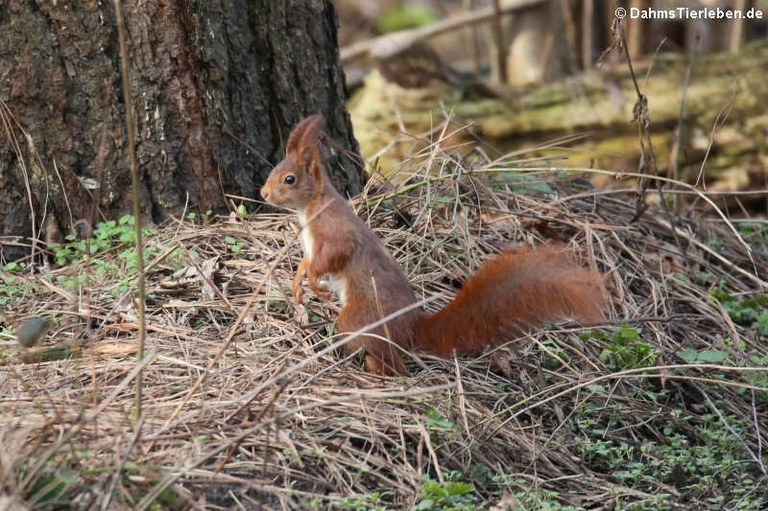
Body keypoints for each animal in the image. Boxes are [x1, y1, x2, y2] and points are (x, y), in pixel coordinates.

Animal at [260, 116, 608, 376]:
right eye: (274, 170)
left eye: (289, 179)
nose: (263, 193)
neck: (311, 207)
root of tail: (411, 330)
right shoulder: (311, 245)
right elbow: (306, 261)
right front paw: (298, 281)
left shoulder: (334, 233)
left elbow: (331, 258)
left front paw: (315, 284)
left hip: (358, 319)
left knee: (389, 364)